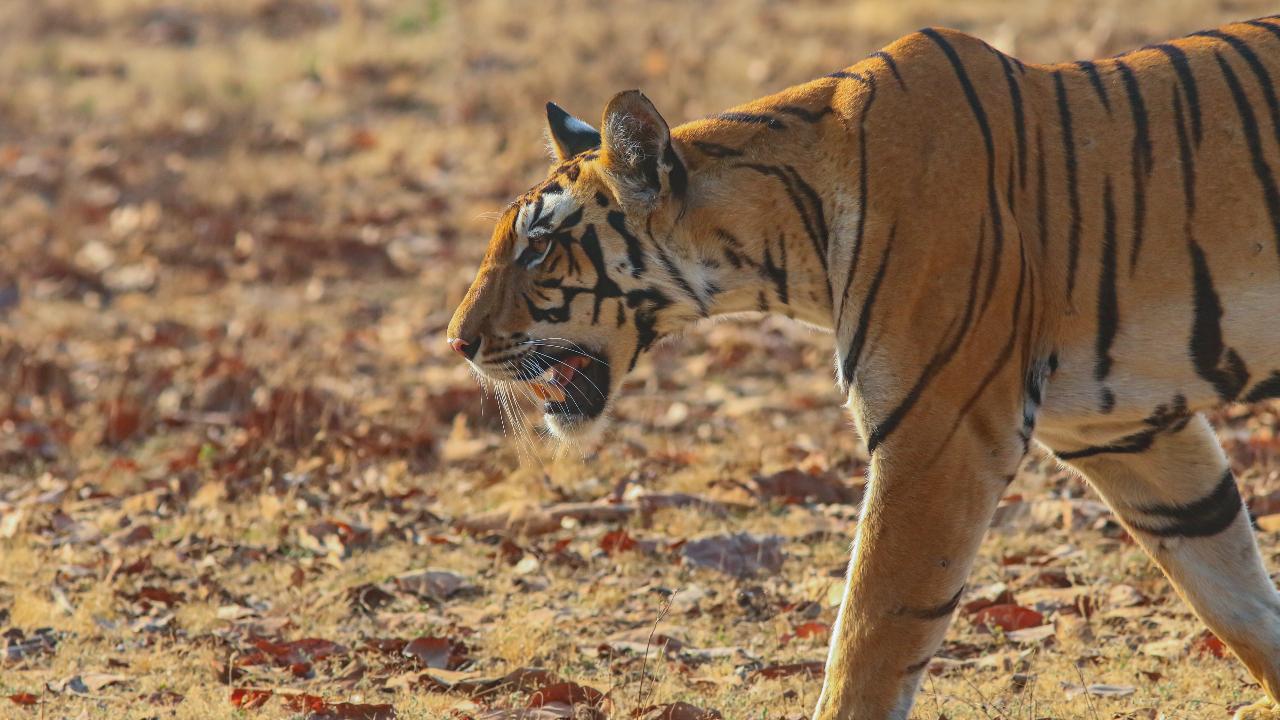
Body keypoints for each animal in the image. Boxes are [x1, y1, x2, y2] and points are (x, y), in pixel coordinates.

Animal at [447, 15, 1280, 720]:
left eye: (538, 247)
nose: (456, 341)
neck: (782, 245)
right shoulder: (1128, 431)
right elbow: (1234, 590)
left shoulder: (937, 436)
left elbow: (872, 635)